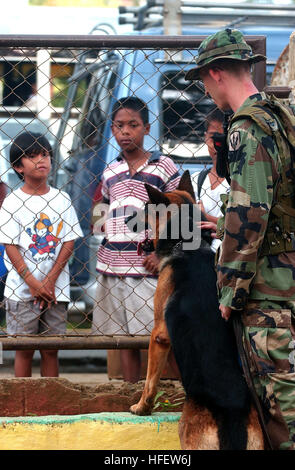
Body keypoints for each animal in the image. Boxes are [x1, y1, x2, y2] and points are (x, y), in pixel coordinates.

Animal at [127, 171, 264, 450]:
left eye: (146, 208)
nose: (124, 220)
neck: (189, 246)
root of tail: (232, 414)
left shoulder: (159, 335)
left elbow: (150, 380)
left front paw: (141, 408)